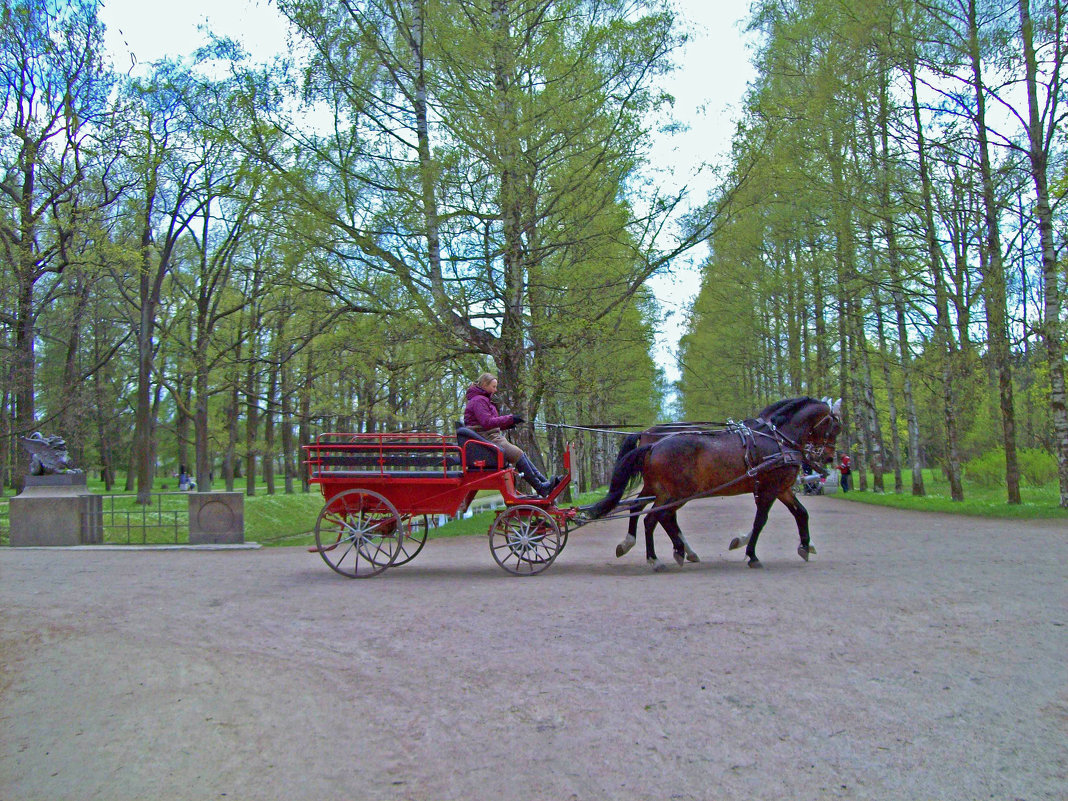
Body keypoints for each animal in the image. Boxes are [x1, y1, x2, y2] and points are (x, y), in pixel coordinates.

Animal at [585, 399, 841, 568]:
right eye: (836, 427)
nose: (829, 458)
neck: (776, 440)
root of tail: (653, 444)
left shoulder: (782, 488)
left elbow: (801, 513)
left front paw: (805, 546)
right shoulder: (769, 488)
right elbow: (760, 521)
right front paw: (751, 554)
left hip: (663, 490)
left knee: (645, 511)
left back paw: (664, 549)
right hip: (678, 492)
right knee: (656, 517)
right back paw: (658, 557)